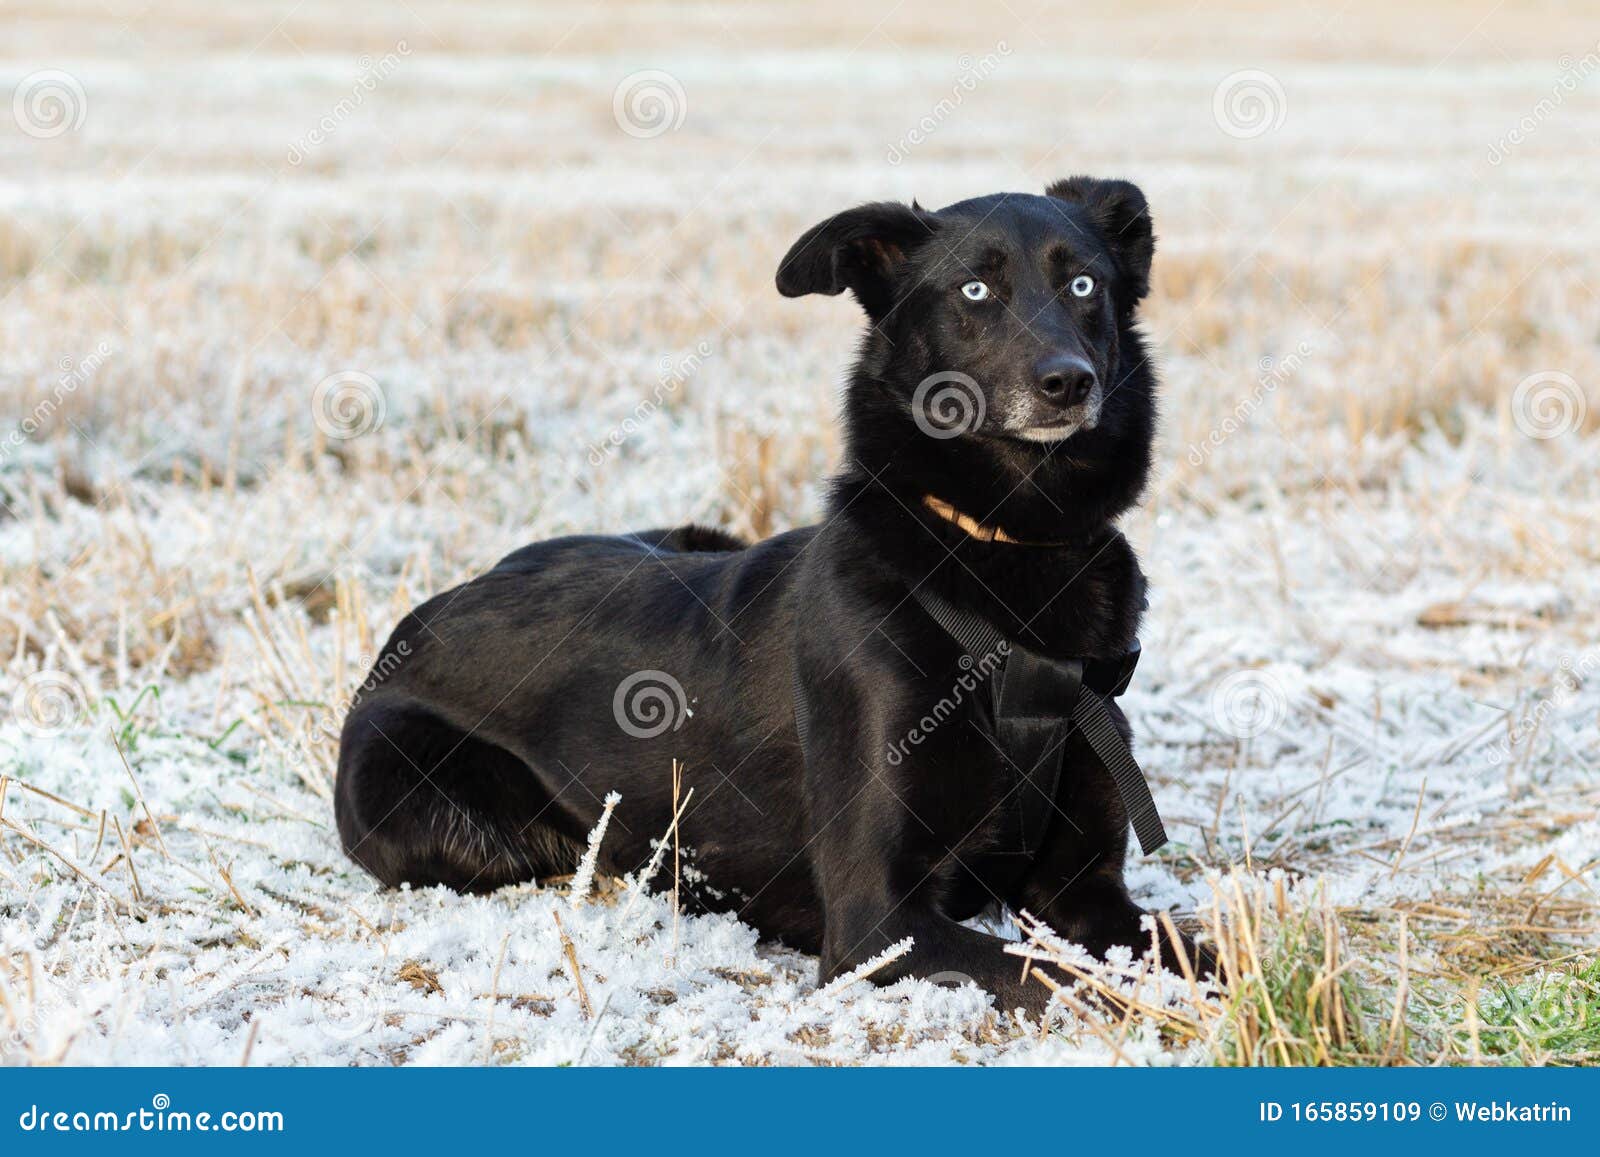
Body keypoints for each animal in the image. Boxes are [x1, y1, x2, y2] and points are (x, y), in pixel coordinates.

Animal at [340, 178, 1209, 1011]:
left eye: (1084, 283)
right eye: (974, 290)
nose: (1068, 381)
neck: (1003, 545)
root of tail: (410, 628)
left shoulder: (1085, 891)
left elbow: (1188, 954)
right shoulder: (876, 922)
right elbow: (1073, 978)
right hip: (441, 814)